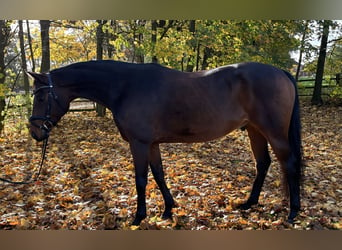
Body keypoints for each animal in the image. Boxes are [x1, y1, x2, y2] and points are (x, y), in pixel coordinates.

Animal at [28, 59, 302, 226]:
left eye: (40, 97)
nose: (35, 132)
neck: (126, 86)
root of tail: (280, 72)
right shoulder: (152, 144)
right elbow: (159, 174)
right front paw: (169, 209)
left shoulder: (139, 143)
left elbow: (141, 179)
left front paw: (139, 217)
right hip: (255, 130)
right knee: (263, 163)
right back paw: (249, 203)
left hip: (274, 133)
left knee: (289, 165)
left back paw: (292, 212)